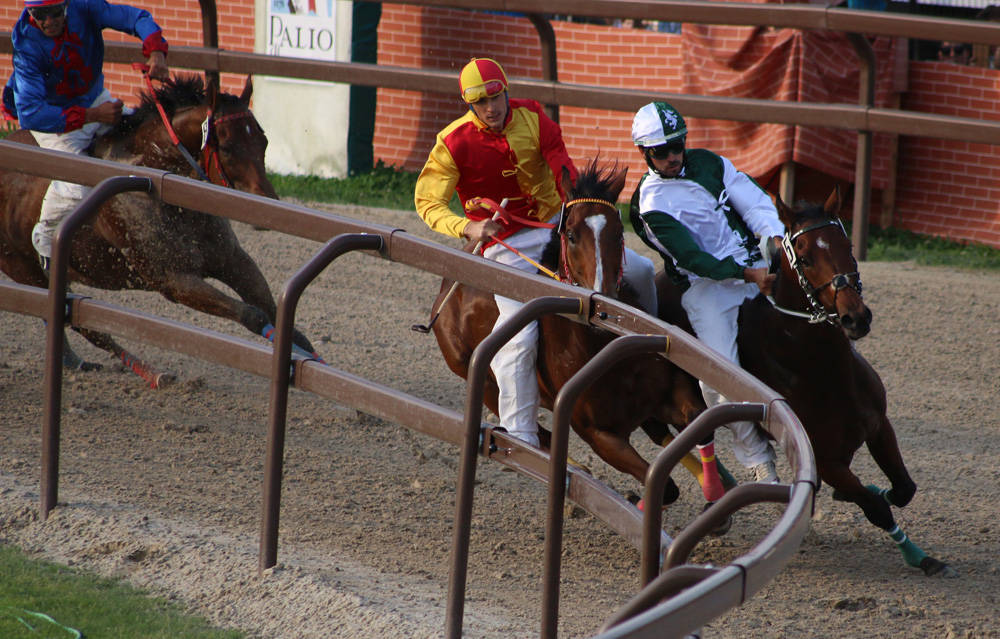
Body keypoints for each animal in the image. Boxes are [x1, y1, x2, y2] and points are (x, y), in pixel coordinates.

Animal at [0, 74, 320, 384]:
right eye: (227, 147)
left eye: (263, 141)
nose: (267, 203)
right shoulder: (174, 281)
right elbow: (253, 315)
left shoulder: (233, 260)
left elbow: (277, 314)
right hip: (22, 267)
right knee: (83, 323)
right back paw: (150, 373)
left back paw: (74, 360)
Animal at [428, 160, 728, 510]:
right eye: (571, 235)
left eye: (618, 233)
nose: (604, 298)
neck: (601, 346)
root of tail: (447, 291)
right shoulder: (599, 434)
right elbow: (665, 486)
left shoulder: (670, 392)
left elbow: (697, 423)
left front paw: (713, 490)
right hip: (479, 379)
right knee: (536, 433)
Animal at [656, 190, 952, 580]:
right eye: (807, 258)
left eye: (848, 246)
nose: (855, 318)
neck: (823, 370)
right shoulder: (824, 459)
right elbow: (876, 506)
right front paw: (916, 554)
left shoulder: (878, 426)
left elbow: (903, 489)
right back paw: (717, 495)